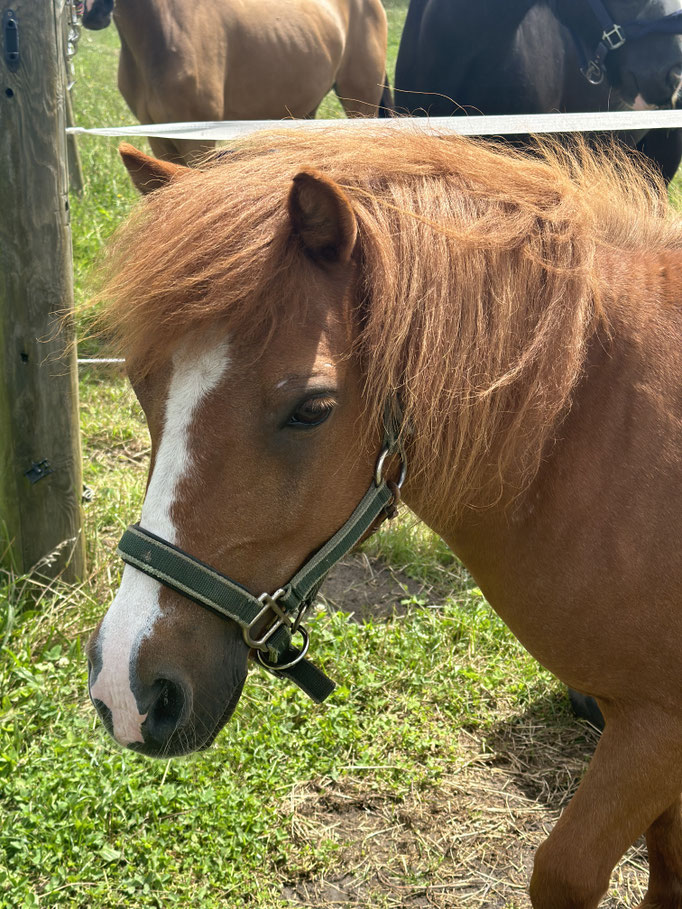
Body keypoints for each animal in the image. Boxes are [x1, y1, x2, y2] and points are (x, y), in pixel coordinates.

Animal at [87, 127, 682, 907]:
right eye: (139, 381)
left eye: (312, 408)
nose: (127, 689)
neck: (599, 427)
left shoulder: (655, 729)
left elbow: (569, 870)